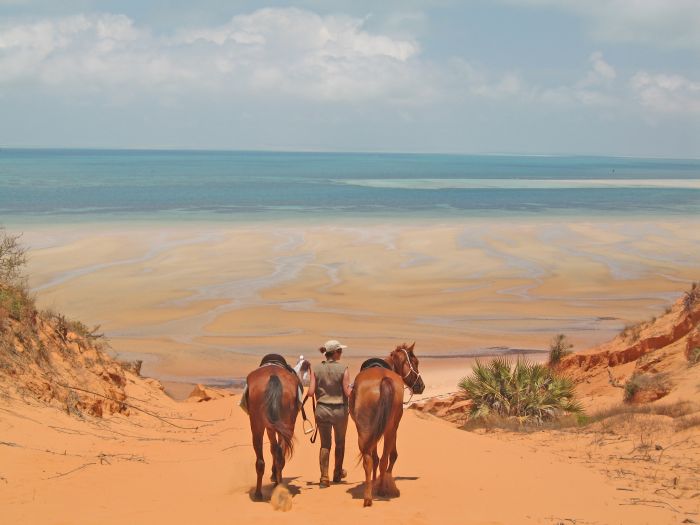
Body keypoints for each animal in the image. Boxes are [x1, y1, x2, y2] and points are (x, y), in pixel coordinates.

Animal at [246, 356, 300, 500]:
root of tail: (273, 376)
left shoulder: (270, 427)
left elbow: (272, 449)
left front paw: (273, 475)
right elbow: (274, 449)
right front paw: (274, 475)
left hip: (259, 425)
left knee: (263, 458)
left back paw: (260, 493)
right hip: (286, 424)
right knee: (278, 454)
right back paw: (277, 488)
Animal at [348, 342, 424, 506]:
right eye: (415, 362)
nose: (421, 386)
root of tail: (384, 380)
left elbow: (378, 457)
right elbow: (390, 456)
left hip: (367, 430)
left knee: (371, 460)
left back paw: (372, 494)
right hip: (387, 429)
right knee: (382, 459)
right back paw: (377, 491)